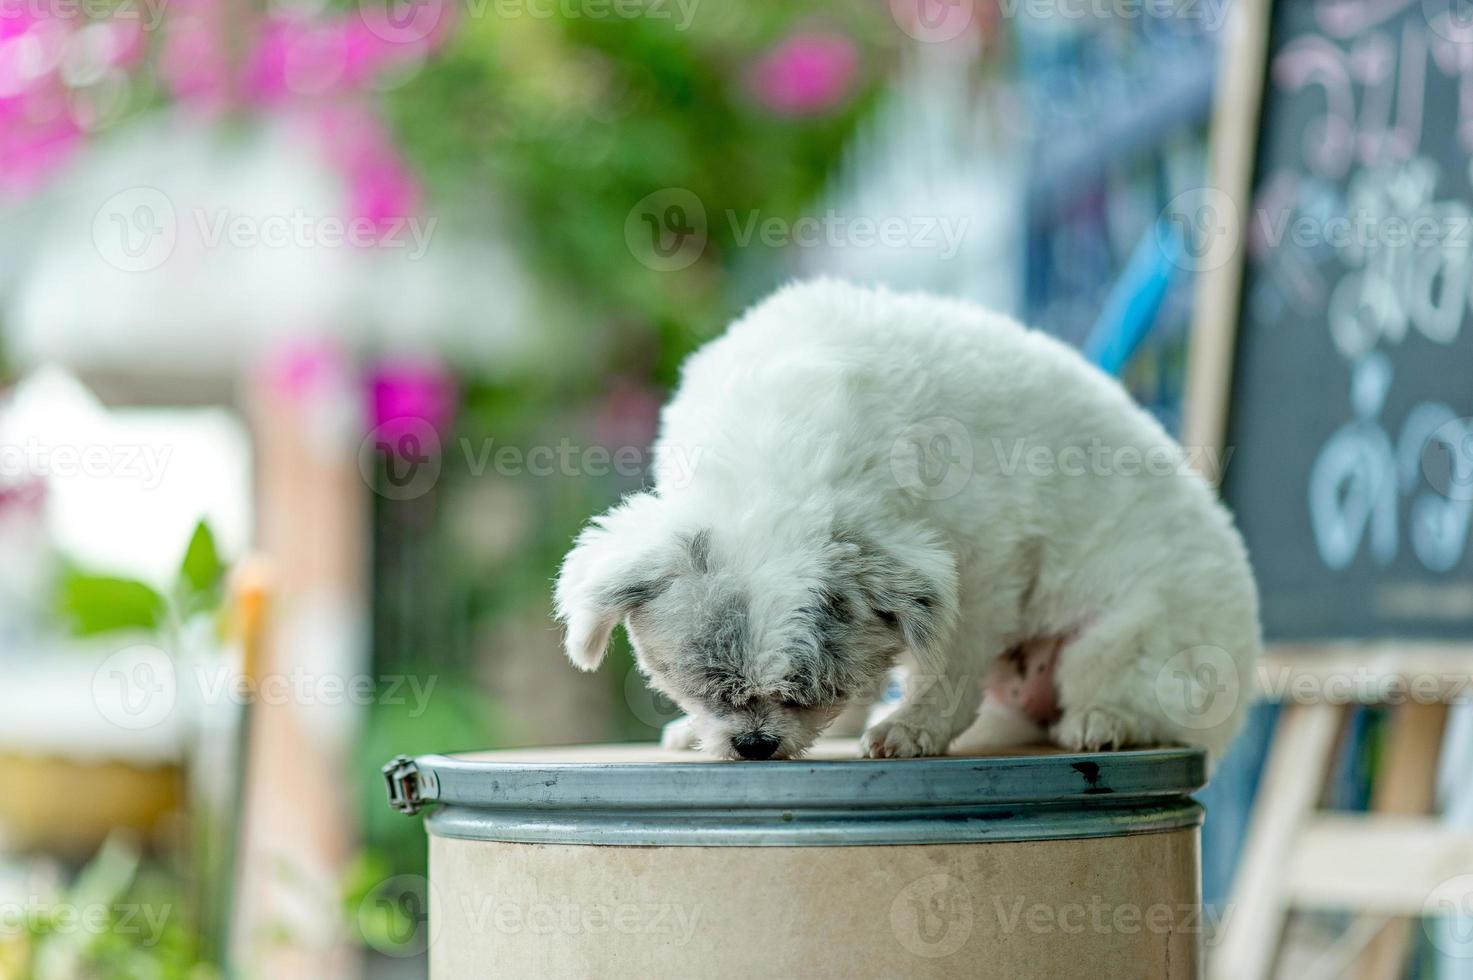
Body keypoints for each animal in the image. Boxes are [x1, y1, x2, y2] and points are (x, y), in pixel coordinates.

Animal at [556, 278, 1260, 760]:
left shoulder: (982, 567)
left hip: (1129, 640)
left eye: (802, 693)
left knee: (1137, 700)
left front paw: (911, 727)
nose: (755, 744)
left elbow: (948, 667)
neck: (775, 460)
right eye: (707, 690)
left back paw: (1102, 721)